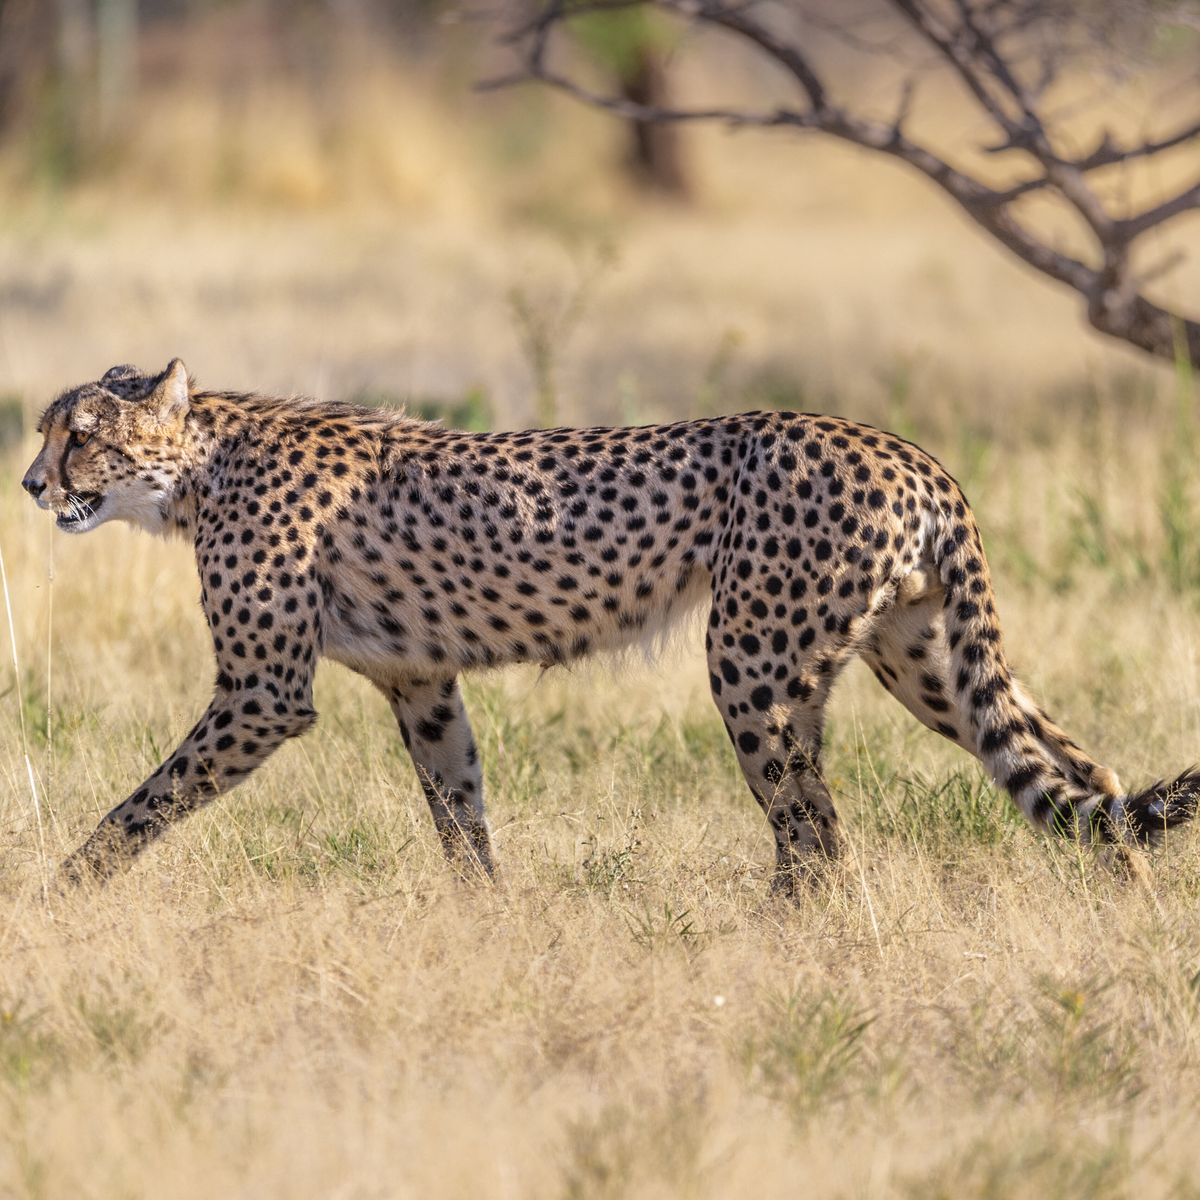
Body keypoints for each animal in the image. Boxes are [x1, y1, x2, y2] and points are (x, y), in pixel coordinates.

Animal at [18, 360, 1200, 888]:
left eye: (82, 436)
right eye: (44, 430)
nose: (30, 484)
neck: (201, 467)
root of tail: (903, 447)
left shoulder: (263, 696)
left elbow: (143, 803)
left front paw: (59, 894)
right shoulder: (421, 681)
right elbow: (461, 813)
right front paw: (488, 926)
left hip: (753, 659)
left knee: (815, 833)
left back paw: (770, 954)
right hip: (923, 659)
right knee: (1076, 771)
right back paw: (1120, 898)